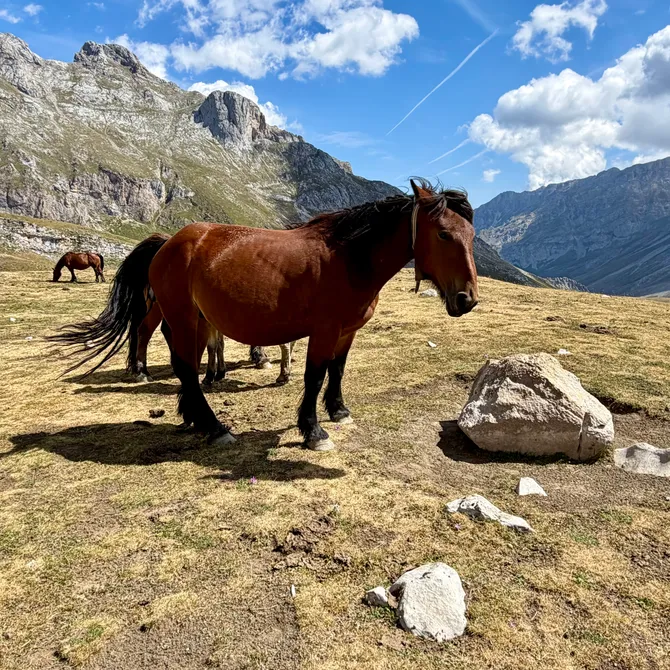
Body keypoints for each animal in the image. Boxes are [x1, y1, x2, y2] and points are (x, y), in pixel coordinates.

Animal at [52, 179, 478, 451]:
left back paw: (192, 417)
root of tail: (168, 242)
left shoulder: (347, 332)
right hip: (183, 317)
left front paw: (338, 411)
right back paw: (214, 427)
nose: (467, 299)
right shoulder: (324, 331)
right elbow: (314, 376)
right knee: (181, 363)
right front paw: (313, 431)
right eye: (443, 233)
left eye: (471, 236)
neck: (348, 259)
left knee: (183, 363)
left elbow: (337, 370)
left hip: (188, 320)